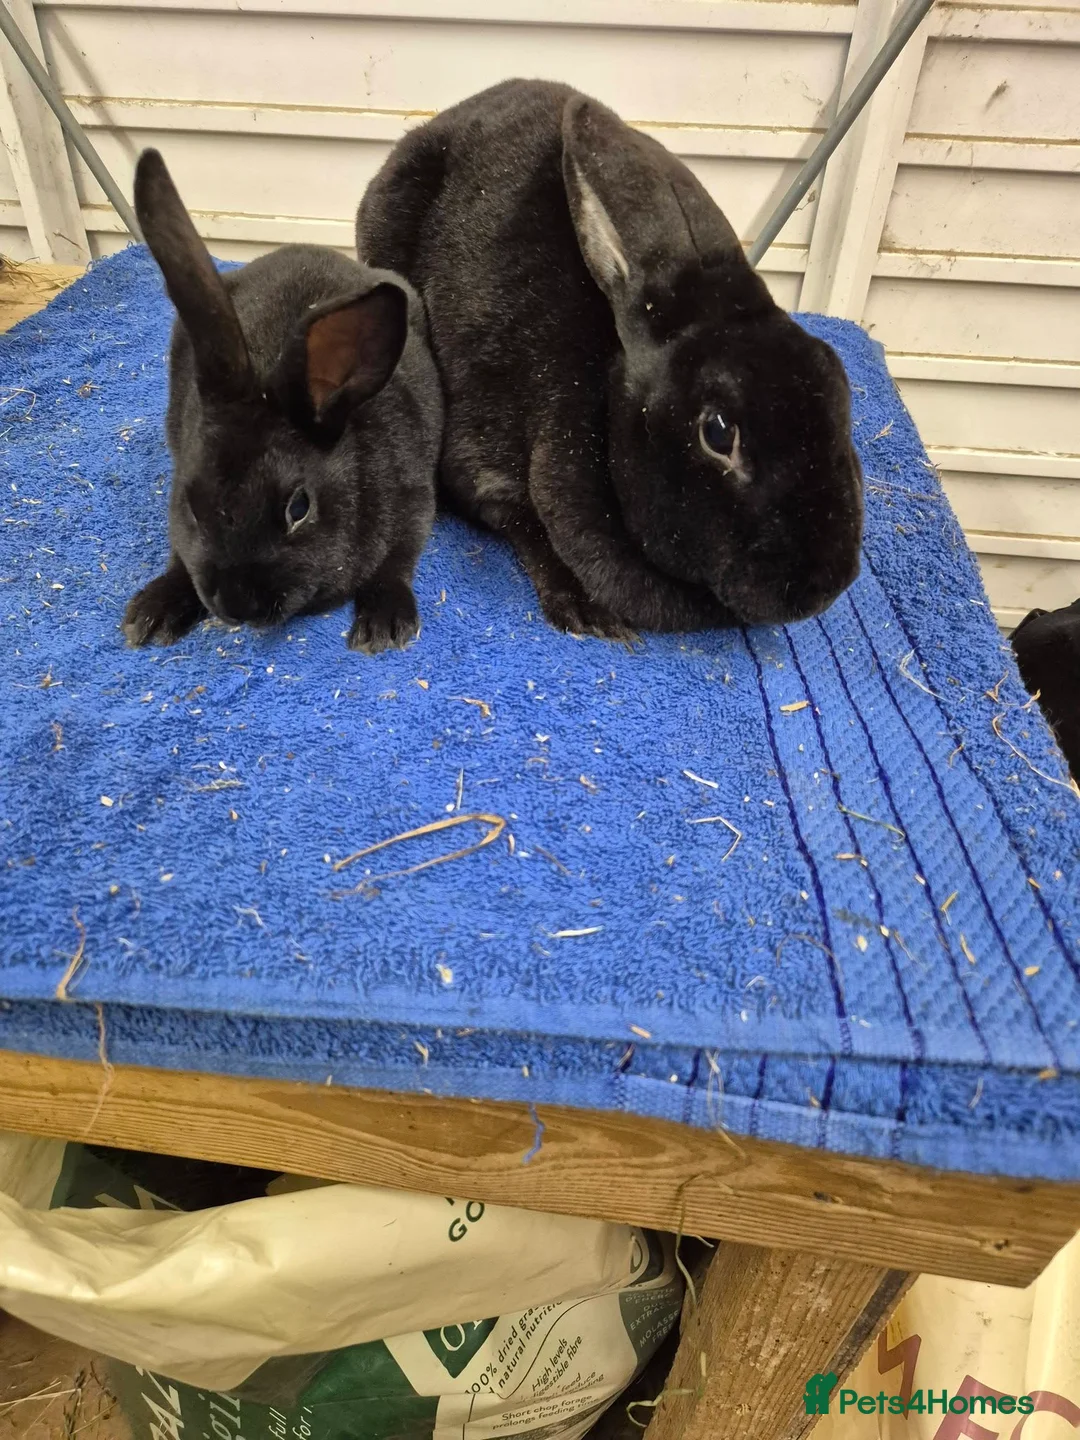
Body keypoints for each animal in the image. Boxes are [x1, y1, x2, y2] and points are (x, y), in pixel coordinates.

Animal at [123, 149, 441, 654]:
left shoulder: (415, 500)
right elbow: (179, 558)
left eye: (299, 508)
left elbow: (396, 563)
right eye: (191, 505)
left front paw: (384, 627)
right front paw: (152, 615)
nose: (237, 606)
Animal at [356, 79, 862, 640]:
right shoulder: (484, 459)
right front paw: (590, 613)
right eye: (717, 433)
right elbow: (524, 524)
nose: (824, 586)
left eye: (838, 383)